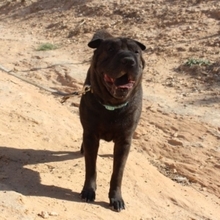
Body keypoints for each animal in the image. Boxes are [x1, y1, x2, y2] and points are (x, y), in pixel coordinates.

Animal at [79, 30, 146, 211]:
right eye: (110, 49)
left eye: (136, 51)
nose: (128, 60)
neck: (111, 106)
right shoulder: (91, 135)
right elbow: (91, 167)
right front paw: (88, 191)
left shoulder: (124, 141)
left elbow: (118, 173)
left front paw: (116, 198)